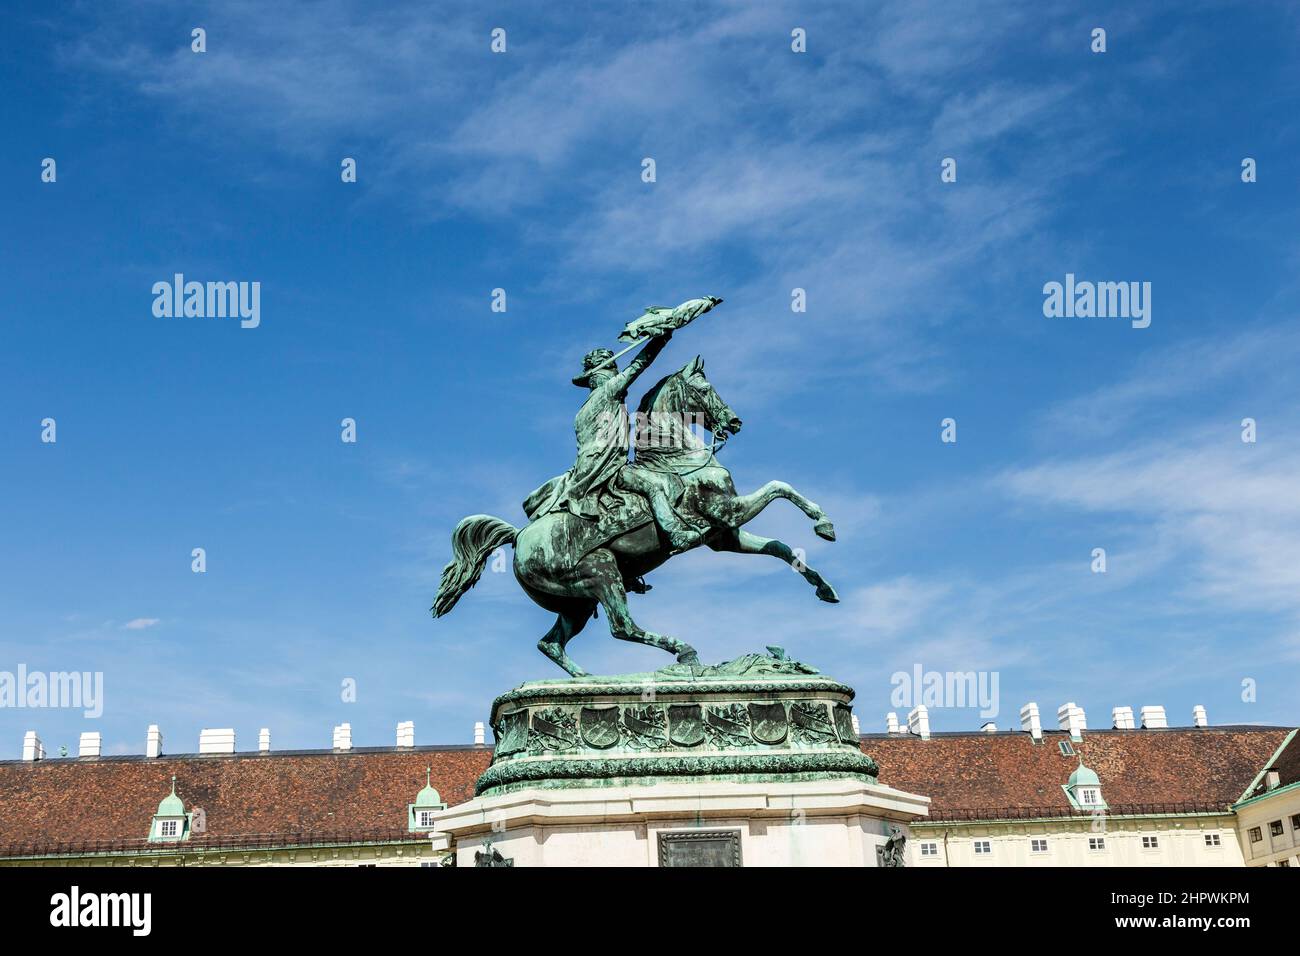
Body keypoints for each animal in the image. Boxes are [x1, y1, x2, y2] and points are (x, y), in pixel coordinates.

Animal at [434, 356, 842, 676]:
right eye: (705, 388)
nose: (735, 422)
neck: (677, 458)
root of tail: (519, 537)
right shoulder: (726, 511)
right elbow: (779, 487)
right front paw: (823, 522)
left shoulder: (724, 535)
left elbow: (780, 548)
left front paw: (824, 587)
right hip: (601, 573)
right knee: (622, 627)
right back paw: (683, 652)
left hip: (577, 602)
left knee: (551, 643)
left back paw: (587, 680)